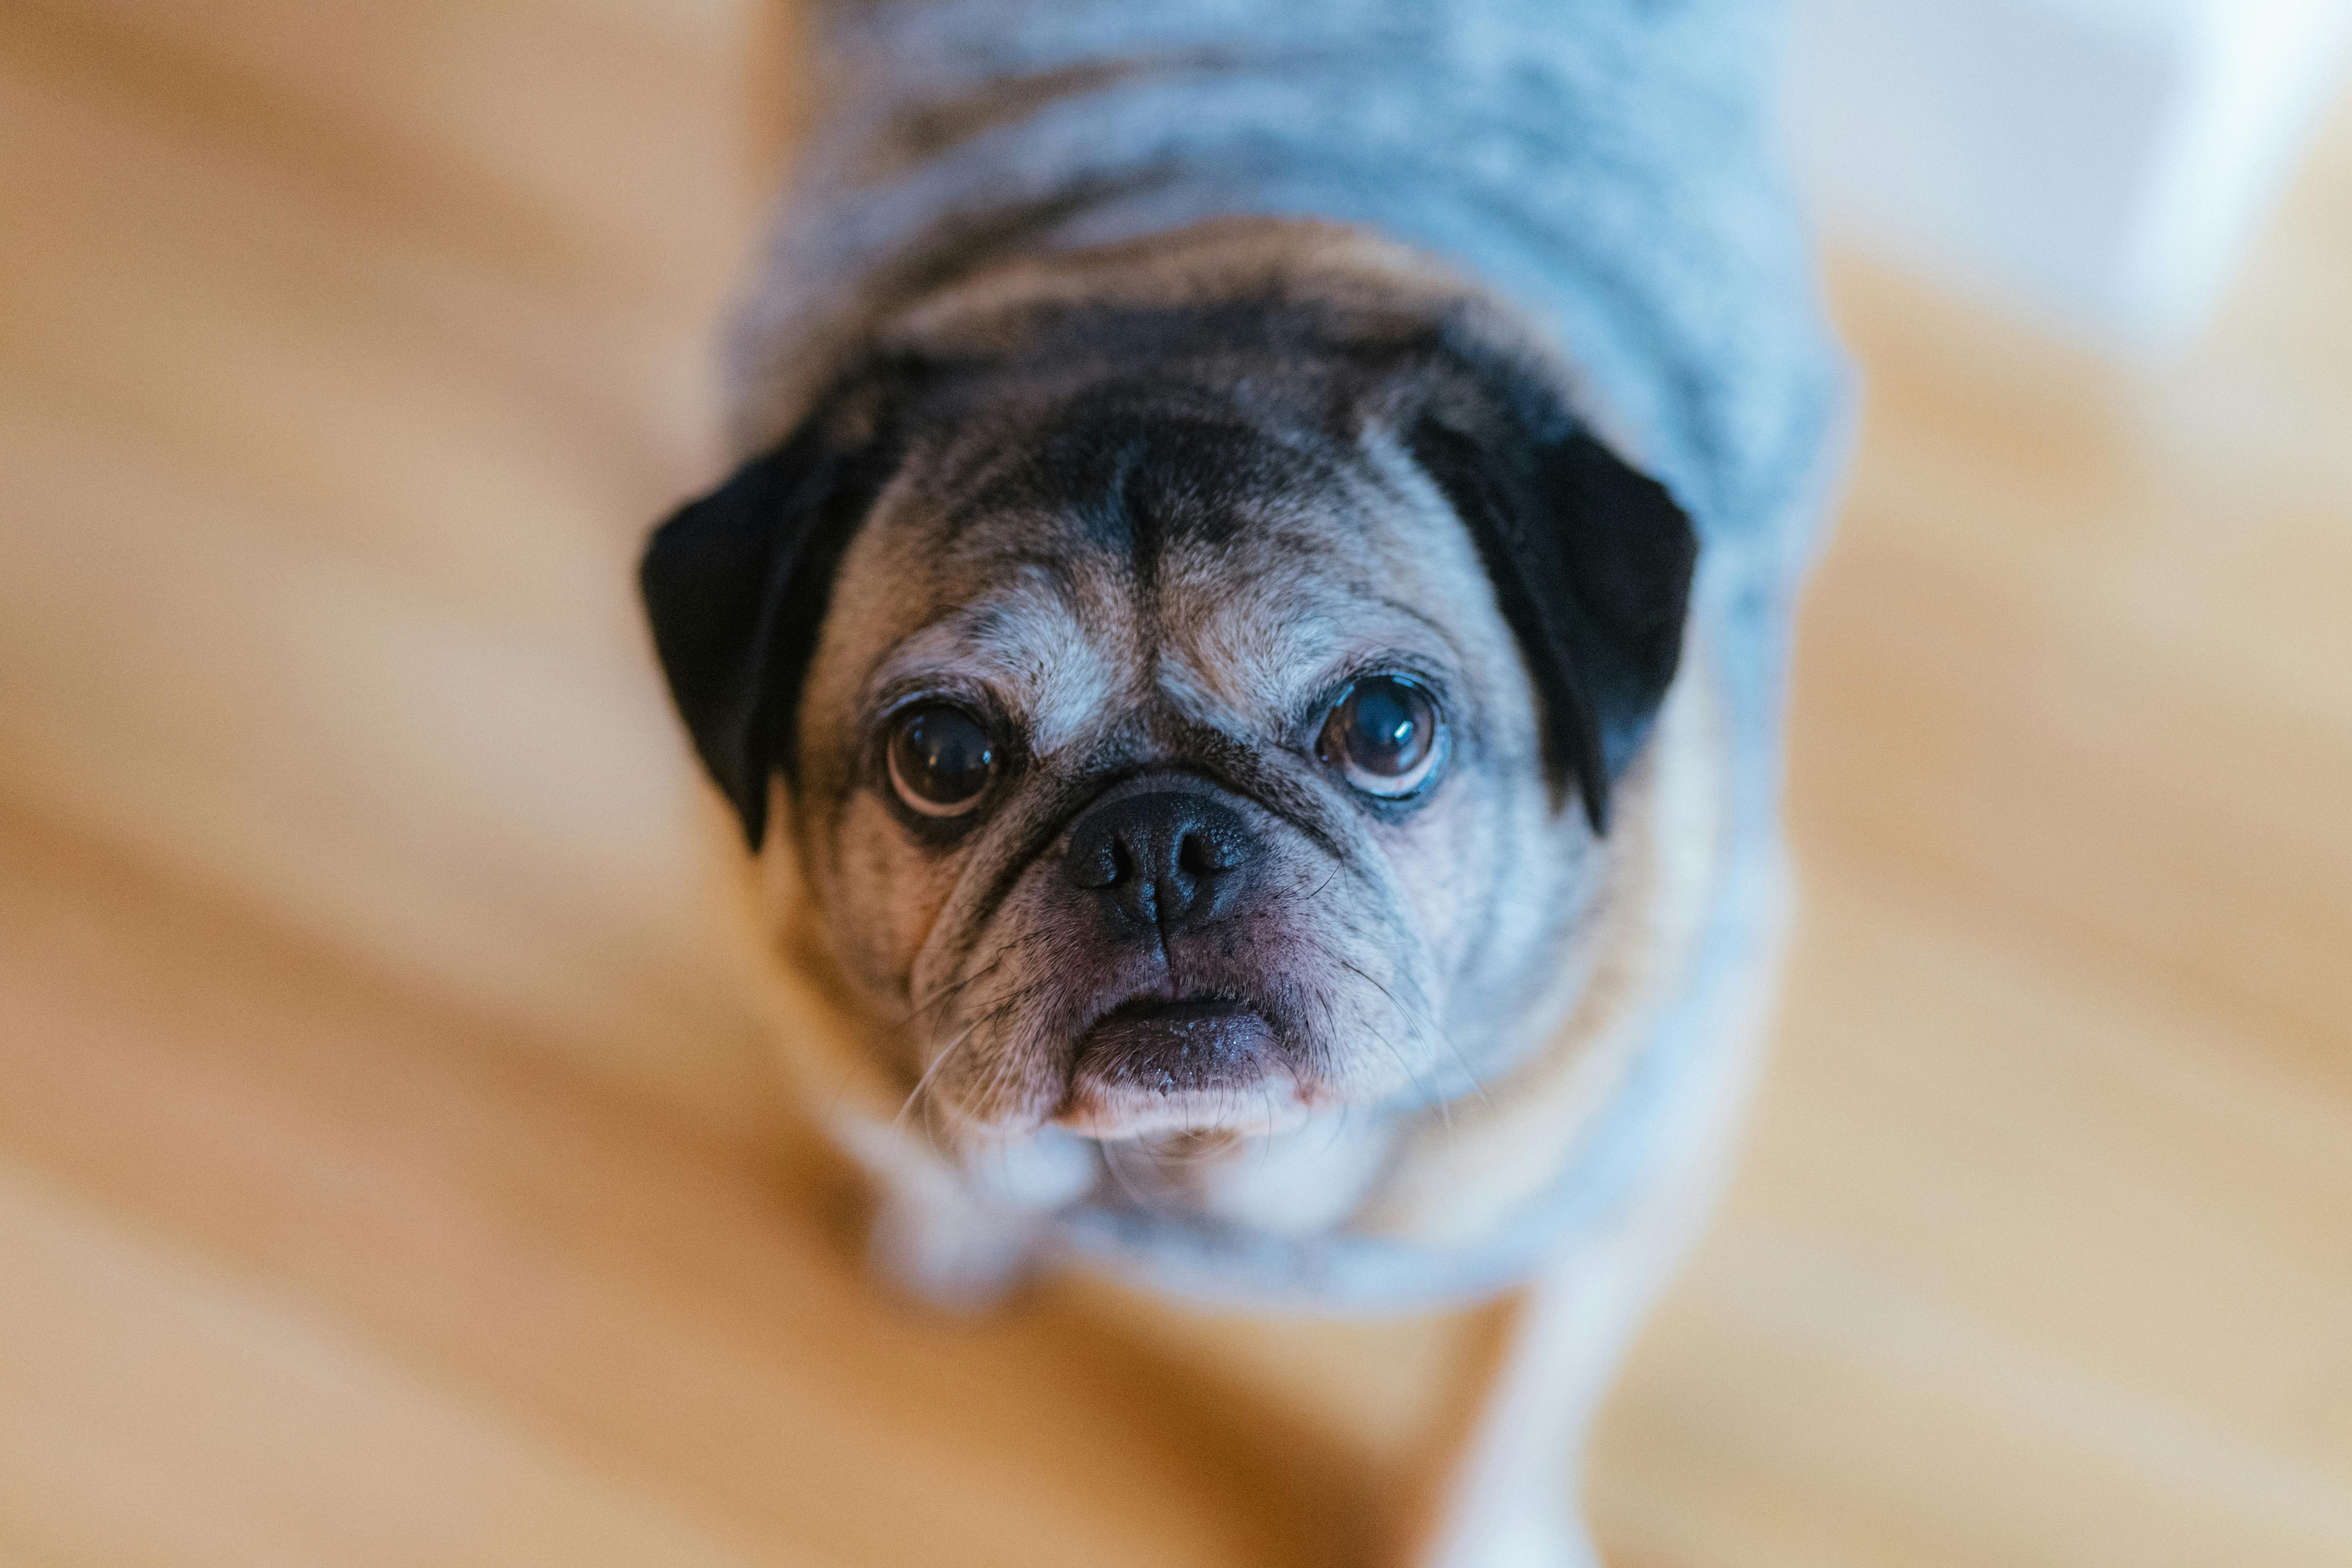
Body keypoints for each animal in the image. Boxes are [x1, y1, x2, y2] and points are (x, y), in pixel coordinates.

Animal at [635, 3, 1844, 1568]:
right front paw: (962, 1218)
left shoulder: (1627, 1179)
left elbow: (1503, 1406)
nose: (1157, 842)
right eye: (943, 759)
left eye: (1387, 727)